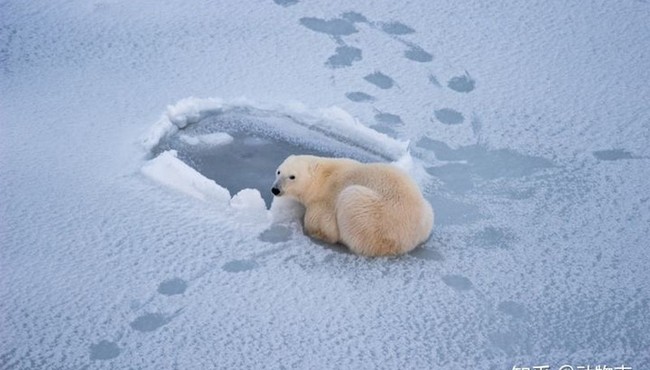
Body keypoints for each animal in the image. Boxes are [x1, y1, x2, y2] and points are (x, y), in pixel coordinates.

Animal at [270, 155, 432, 256]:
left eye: (292, 176)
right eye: (278, 171)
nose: (275, 189)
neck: (322, 177)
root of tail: (409, 239)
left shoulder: (326, 199)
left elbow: (325, 227)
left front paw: (312, 229)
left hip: (372, 217)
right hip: (427, 211)